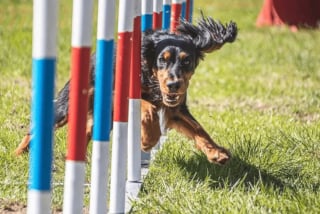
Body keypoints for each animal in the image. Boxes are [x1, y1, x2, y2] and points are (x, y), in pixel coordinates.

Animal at [15, 15, 238, 166]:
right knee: (38, 127)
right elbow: (146, 106)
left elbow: (198, 129)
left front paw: (216, 153)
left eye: (187, 60)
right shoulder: (118, 93)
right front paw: (148, 138)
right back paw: (17, 154)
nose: (174, 84)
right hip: (68, 105)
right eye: (162, 59)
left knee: (87, 129)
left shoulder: (175, 108)